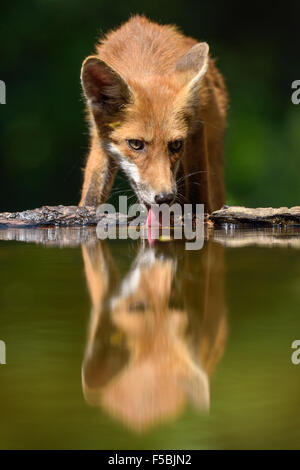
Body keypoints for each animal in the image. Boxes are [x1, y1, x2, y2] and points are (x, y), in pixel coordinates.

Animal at [79, 15, 227, 213]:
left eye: (176, 144)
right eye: (135, 144)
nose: (164, 198)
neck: (144, 63)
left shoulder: (196, 128)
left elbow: (198, 189)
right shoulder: (99, 136)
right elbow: (92, 191)